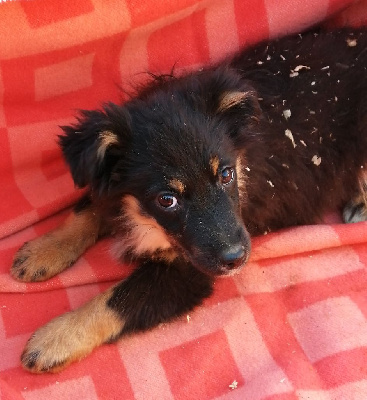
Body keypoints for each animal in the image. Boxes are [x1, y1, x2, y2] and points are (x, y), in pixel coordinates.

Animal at [10, 27, 367, 372]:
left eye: (226, 175)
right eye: (167, 199)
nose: (236, 259)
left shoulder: (188, 272)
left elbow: (117, 299)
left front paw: (55, 340)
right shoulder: (109, 182)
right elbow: (88, 209)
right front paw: (43, 251)